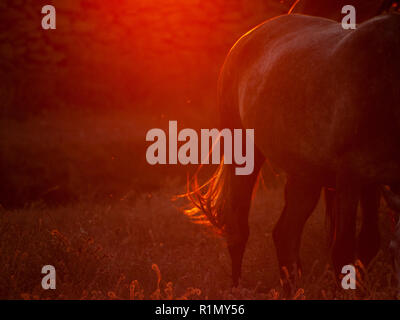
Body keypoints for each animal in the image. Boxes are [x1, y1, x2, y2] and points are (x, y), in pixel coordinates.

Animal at [188, 0, 400, 290]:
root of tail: (245, 39)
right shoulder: (350, 177)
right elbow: (343, 251)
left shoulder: (373, 182)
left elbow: (368, 244)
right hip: (244, 154)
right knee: (239, 229)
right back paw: (237, 288)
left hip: (305, 179)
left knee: (285, 235)